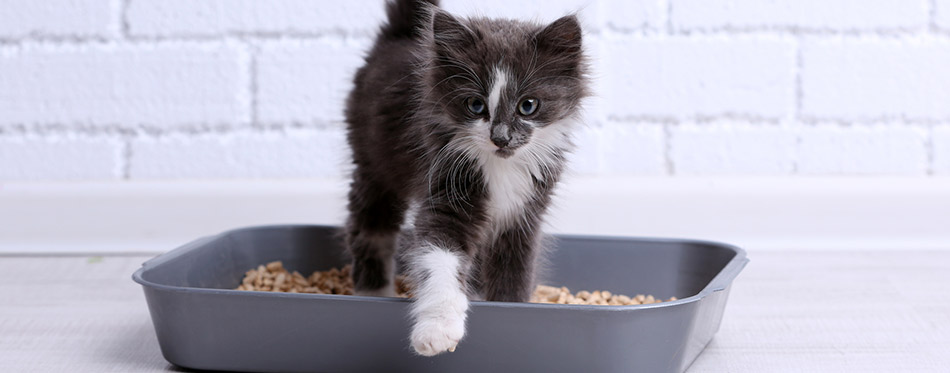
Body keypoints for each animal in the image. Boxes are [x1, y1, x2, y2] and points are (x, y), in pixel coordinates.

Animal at [346, 0, 592, 354]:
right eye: (475, 105)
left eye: (528, 105)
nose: (501, 137)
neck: (501, 168)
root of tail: (400, 35)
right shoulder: (447, 193)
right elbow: (440, 260)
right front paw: (437, 330)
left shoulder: (524, 216)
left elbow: (514, 273)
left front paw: (512, 310)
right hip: (373, 165)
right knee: (369, 229)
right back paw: (373, 292)